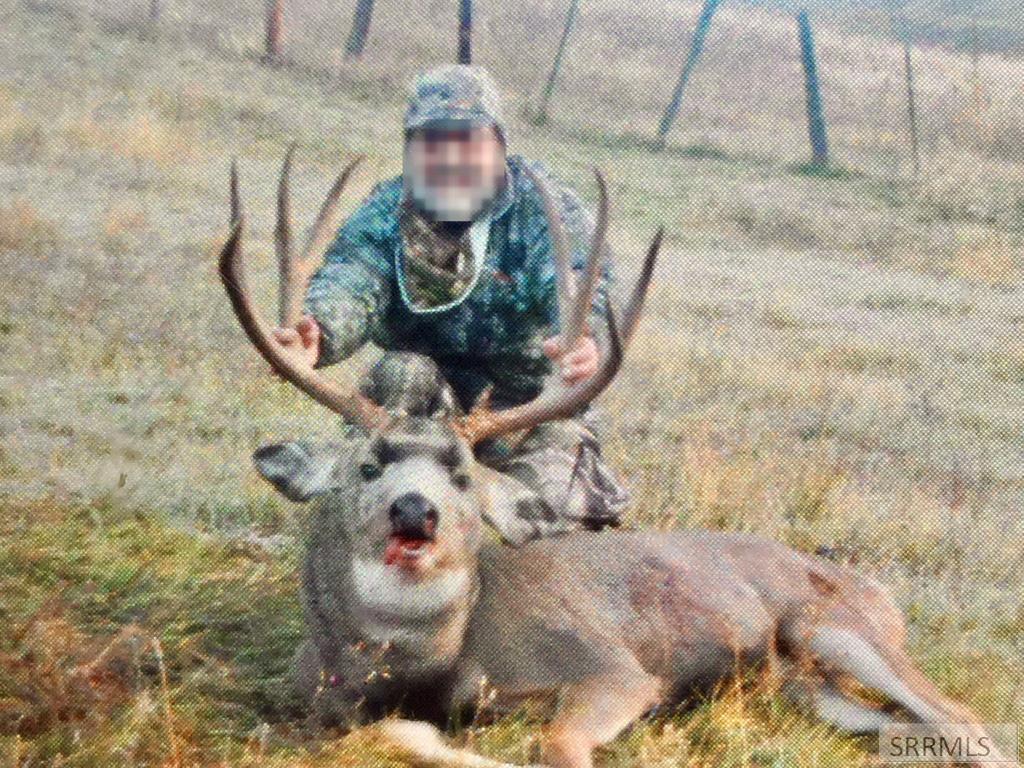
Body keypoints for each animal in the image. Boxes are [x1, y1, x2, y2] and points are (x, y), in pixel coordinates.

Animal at [217, 150, 1009, 768]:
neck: (421, 670)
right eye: (368, 466)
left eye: (463, 476)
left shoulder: (613, 670)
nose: (416, 511)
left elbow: (554, 743)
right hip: (805, 685)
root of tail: (874, 587)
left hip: (839, 627)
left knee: (961, 717)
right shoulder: (311, 700)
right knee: (907, 728)